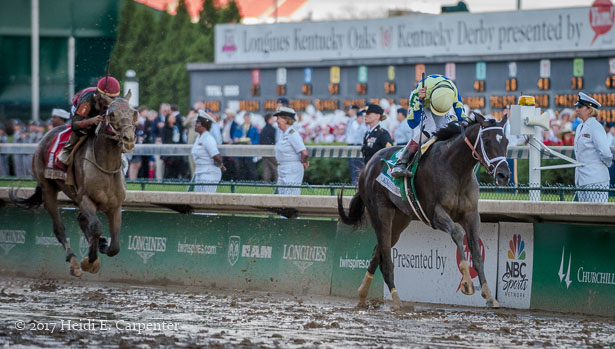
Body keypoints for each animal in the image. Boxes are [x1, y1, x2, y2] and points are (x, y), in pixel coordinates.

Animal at [9, 91, 137, 276]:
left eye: (134, 113)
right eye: (112, 114)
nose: (129, 139)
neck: (106, 166)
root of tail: (47, 134)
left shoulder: (115, 206)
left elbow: (115, 246)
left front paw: (103, 244)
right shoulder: (85, 199)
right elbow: (96, 227)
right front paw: (90, 261)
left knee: (81, 220)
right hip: (49, 189)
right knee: (59, 228)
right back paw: (74, 261)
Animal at [336, 113, 510, 308]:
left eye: (506, 142)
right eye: (486, 141)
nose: (503, 175)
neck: (456, 169)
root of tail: (368, 166)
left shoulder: (471, 215)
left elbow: (477, 253)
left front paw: (489, 295)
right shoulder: (435, 214)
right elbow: (457, 233)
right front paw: (466, 283)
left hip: (400, 220)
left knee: (376, 254)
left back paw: (362, 296)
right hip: (380, 214)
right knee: (386, 260)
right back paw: (397, 301)